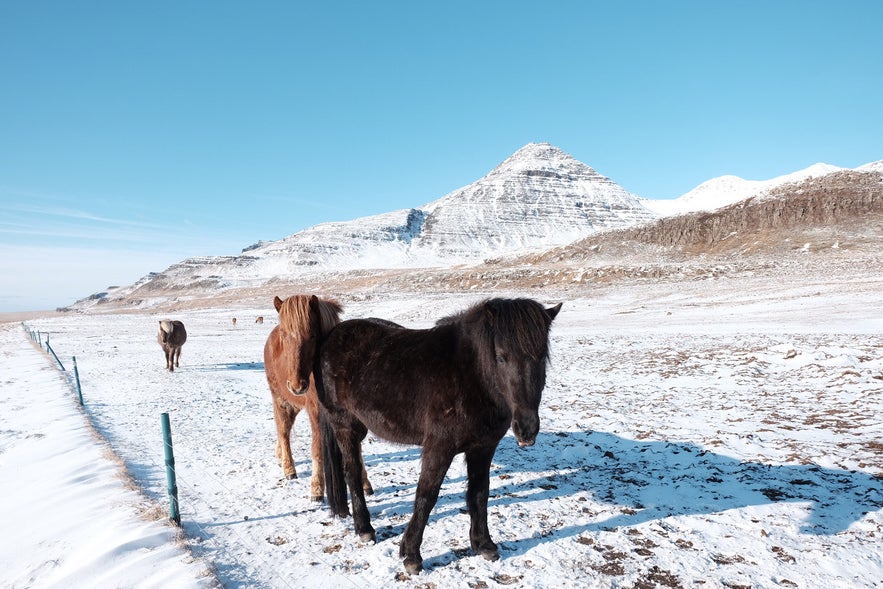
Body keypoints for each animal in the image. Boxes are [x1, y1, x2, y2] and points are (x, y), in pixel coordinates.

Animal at [262, 294, 372, 500]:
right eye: (285, 335)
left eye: (312, 335)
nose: (297, 385)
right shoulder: (316, 413)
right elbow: (317, 449)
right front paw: (316, 489)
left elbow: (357, 448)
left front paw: (365, 484)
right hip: (282, 401)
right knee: (284, 430)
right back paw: (289, 469)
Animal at [318, 296, 564, 572]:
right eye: (501, 357)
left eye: (542, 357)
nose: (527, 429)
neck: (470, 375)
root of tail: (331, 336)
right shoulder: (439, 447)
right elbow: (427, 495)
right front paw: (411, 555)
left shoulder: (483, 448)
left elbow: (479, 493)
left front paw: (484, 544)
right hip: (345, 427)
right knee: (351, 472)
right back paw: (364, 529)